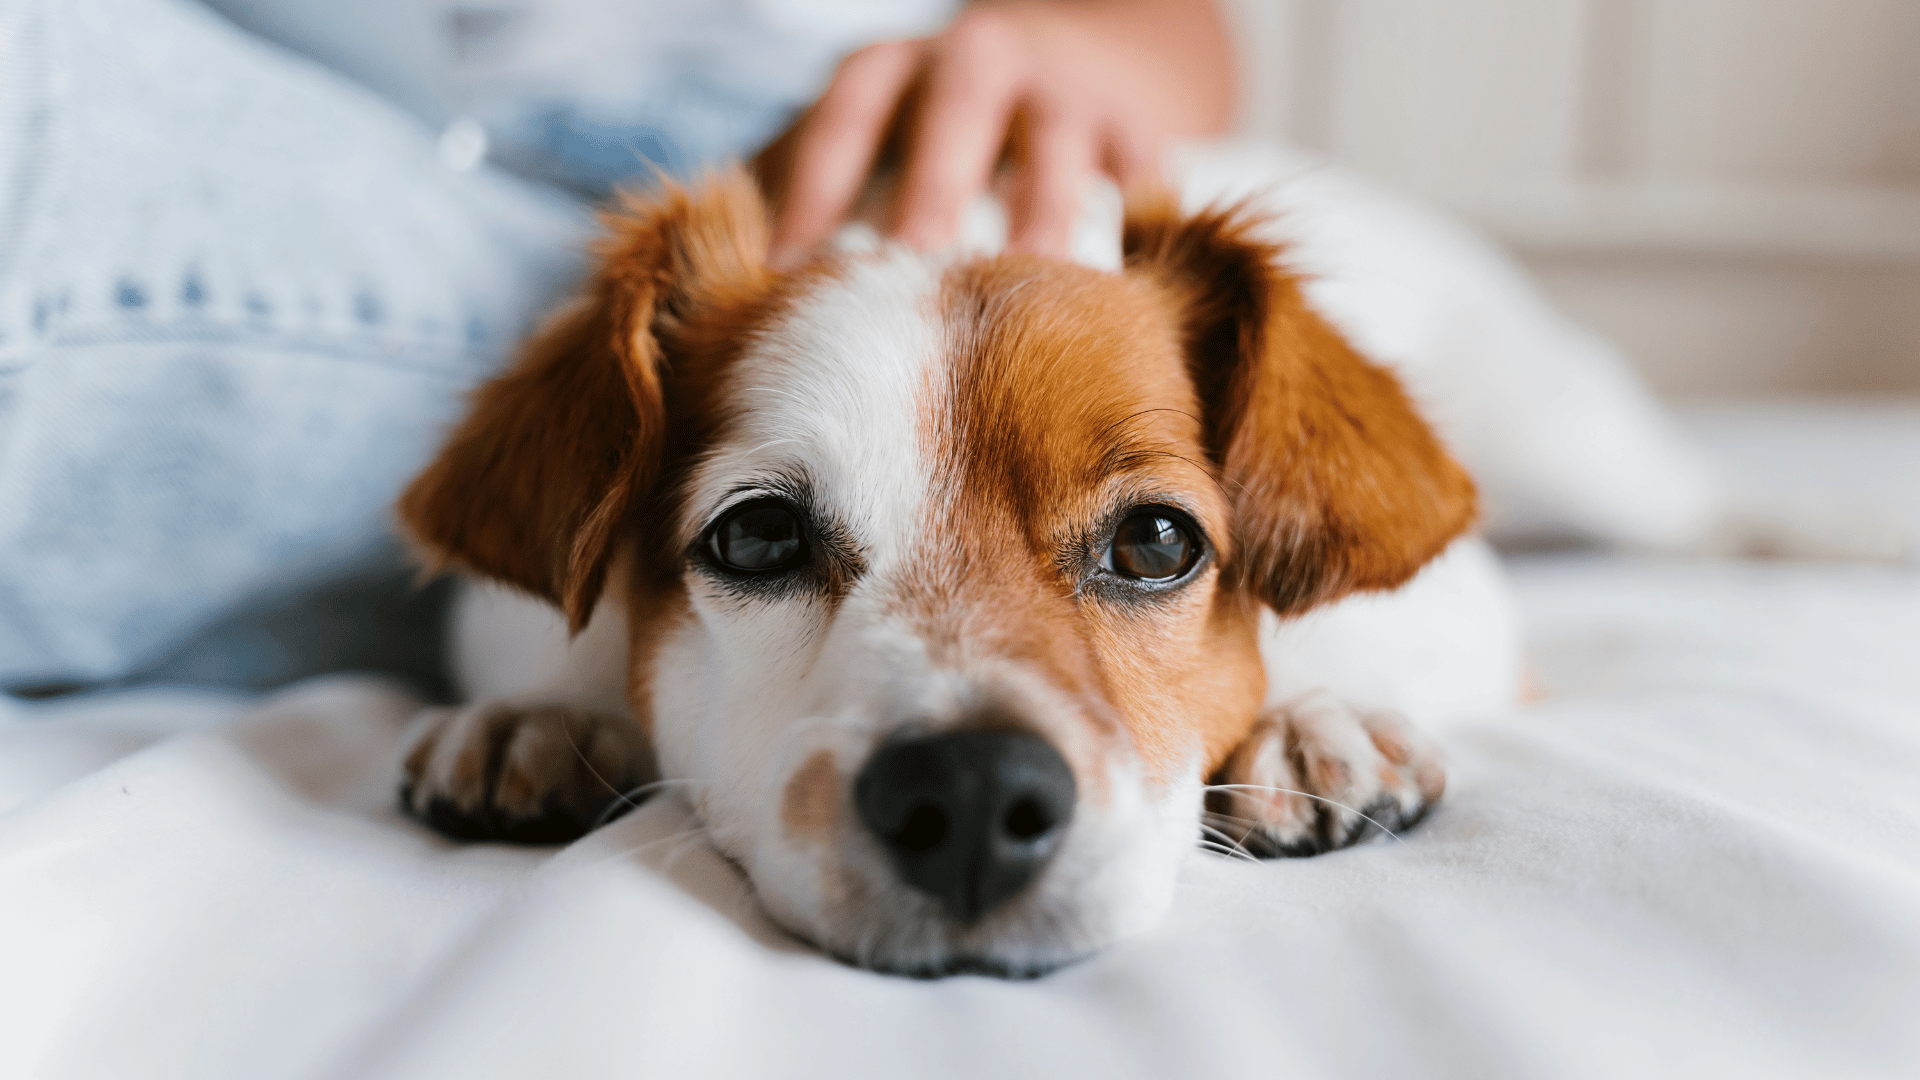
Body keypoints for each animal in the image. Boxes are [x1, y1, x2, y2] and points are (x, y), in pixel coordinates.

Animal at [389, 138, 1889, 972]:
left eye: (1158, 540)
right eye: (756, 534)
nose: (970, 798)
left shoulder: (1462, 599)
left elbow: (1347, 619)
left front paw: (1314, 718)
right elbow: (556, 633)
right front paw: (541, 716)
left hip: (1575, 445)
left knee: (1703, 508)